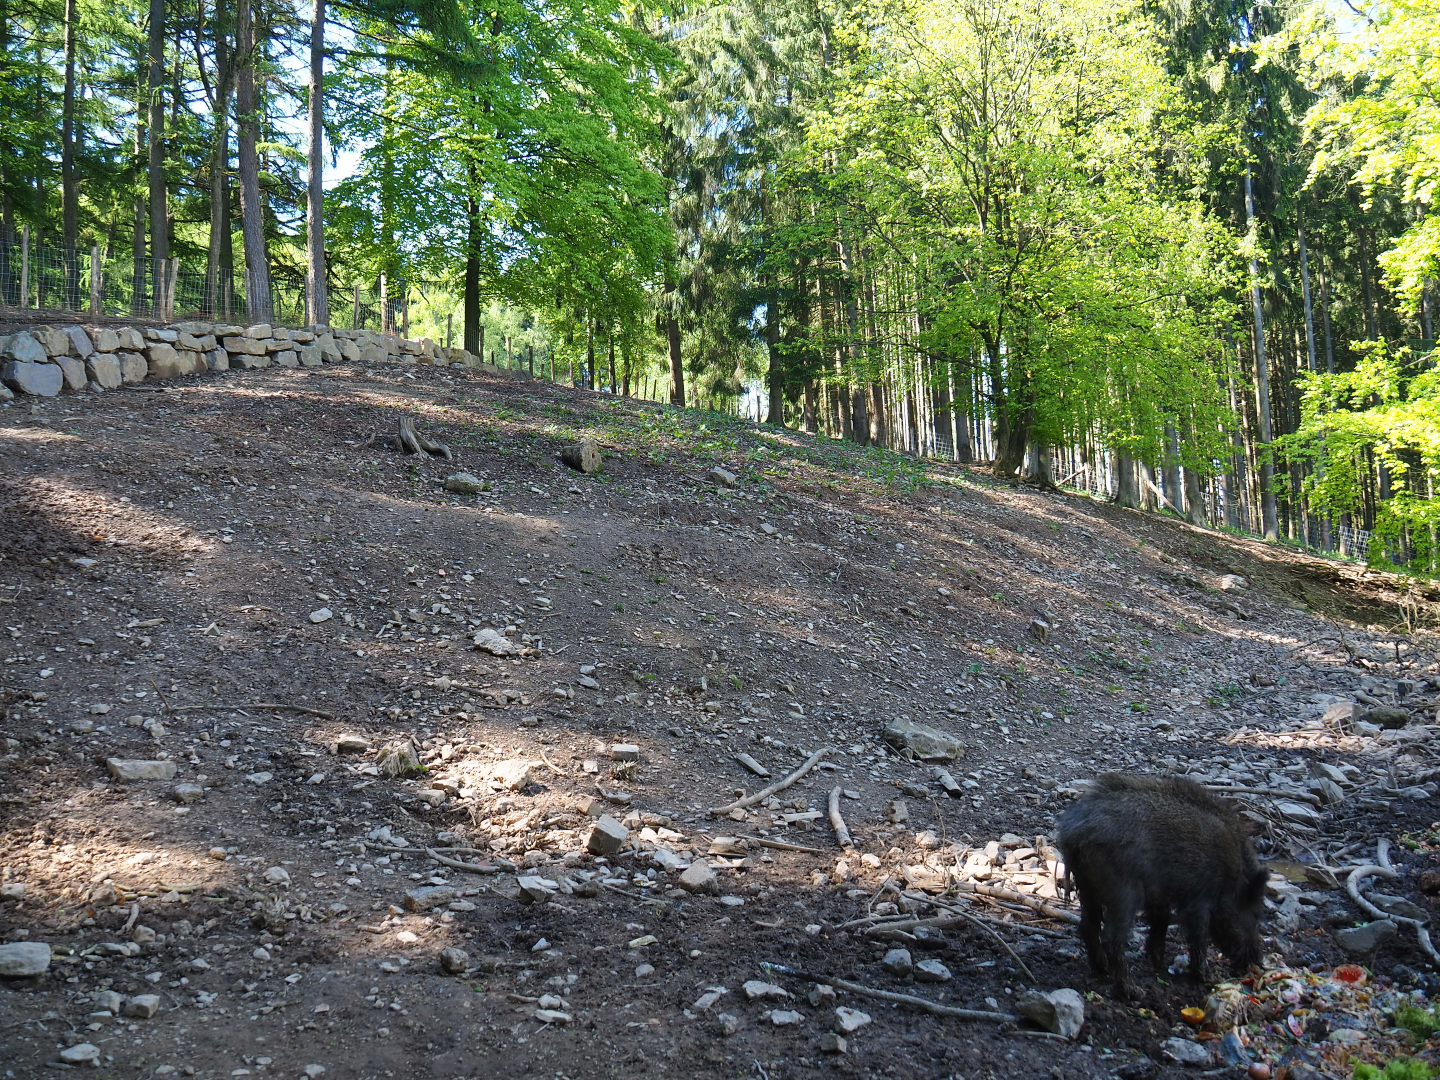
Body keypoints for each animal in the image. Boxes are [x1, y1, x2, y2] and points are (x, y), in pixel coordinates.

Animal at [1056, 773, 1266, 999]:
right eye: (1255, 914)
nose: (1257, 960)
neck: (1232, 877)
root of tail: (1074, 832)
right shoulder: (1198, 899)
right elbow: (1198, 935)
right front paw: (1209, 978)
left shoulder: (1159, 895)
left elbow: (1161, 922)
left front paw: (1160, 965)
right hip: (1123, 891)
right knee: (1112, 937)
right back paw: (1132, 991)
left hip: (1087, 885)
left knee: (1088, 926)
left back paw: (1102, 969)